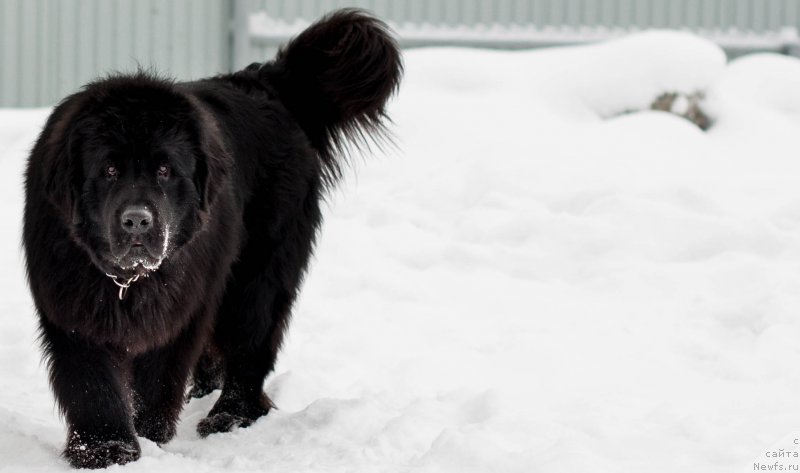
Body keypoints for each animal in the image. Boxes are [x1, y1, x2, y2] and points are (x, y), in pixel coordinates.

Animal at [22, 9, 404, 466]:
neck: (129, 282)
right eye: (109, 170)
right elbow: (91, 383)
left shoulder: (183, 309)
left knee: (250, 342)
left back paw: (230, 415)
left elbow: (156, 379)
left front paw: (148, 438)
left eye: (165, 171)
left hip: (256, 276)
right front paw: (106, 448)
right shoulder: (72, 308)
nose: (137, 222)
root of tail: (265, 83)